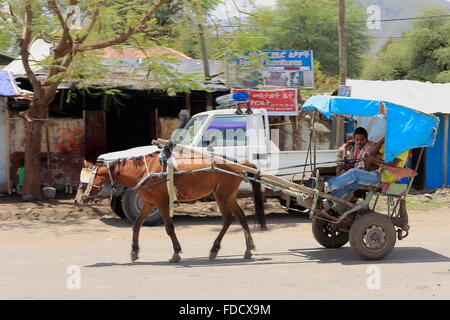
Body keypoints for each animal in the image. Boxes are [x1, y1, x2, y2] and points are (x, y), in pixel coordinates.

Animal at [72, 151, 266, 264]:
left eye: (85, 181)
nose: (76, 200)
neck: (144, 171)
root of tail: (239, 162)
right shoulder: (149, 203)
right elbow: (136, 225)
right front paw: (134, 252)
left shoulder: (162, 202)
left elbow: (169, 228)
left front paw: (176, 253)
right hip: (229, 195)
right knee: (241, 217)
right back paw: (248, 249)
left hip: (222, 195)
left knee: (228, 219)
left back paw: (215, 249)